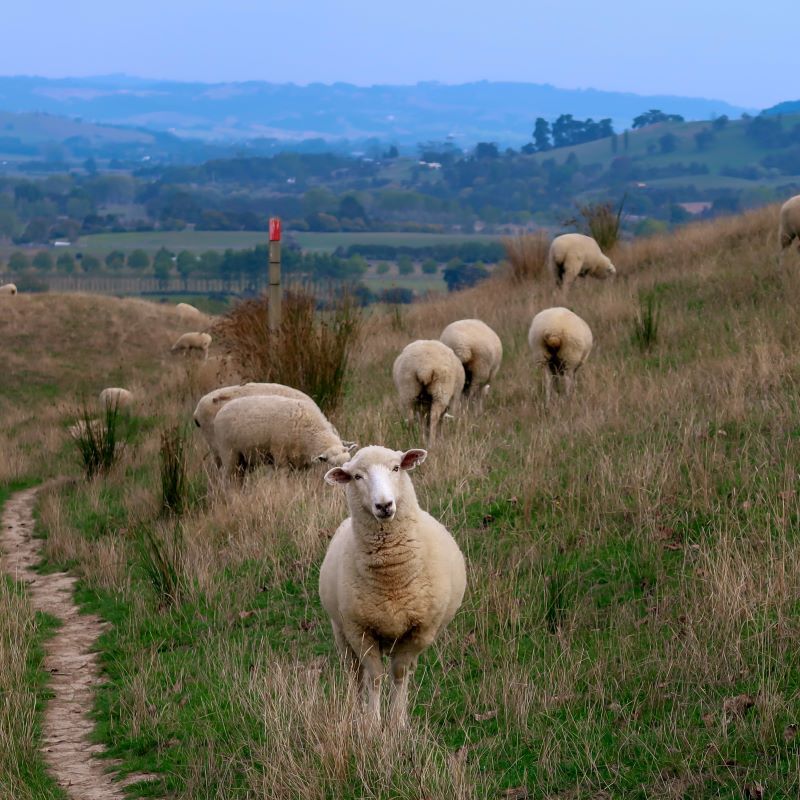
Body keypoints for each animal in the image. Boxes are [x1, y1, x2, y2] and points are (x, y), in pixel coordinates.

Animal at [211, 392, 354, 478]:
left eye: (349, 460)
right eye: (332, 465)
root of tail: (221, 411)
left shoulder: (300, 462)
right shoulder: (280, 456)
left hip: (244, 458)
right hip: (228, 454)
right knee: (231, 480)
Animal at [320, 446, 466, 728]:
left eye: (396, 468)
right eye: (357, 476)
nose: (384, 505)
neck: (391, 577)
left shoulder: (420, 631)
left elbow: (398, 674)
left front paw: (398, 722)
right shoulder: (359, 630)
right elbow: (375, 676)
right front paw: (372, 723)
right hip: (341, 632)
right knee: (356, 674)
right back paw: (356, 712)